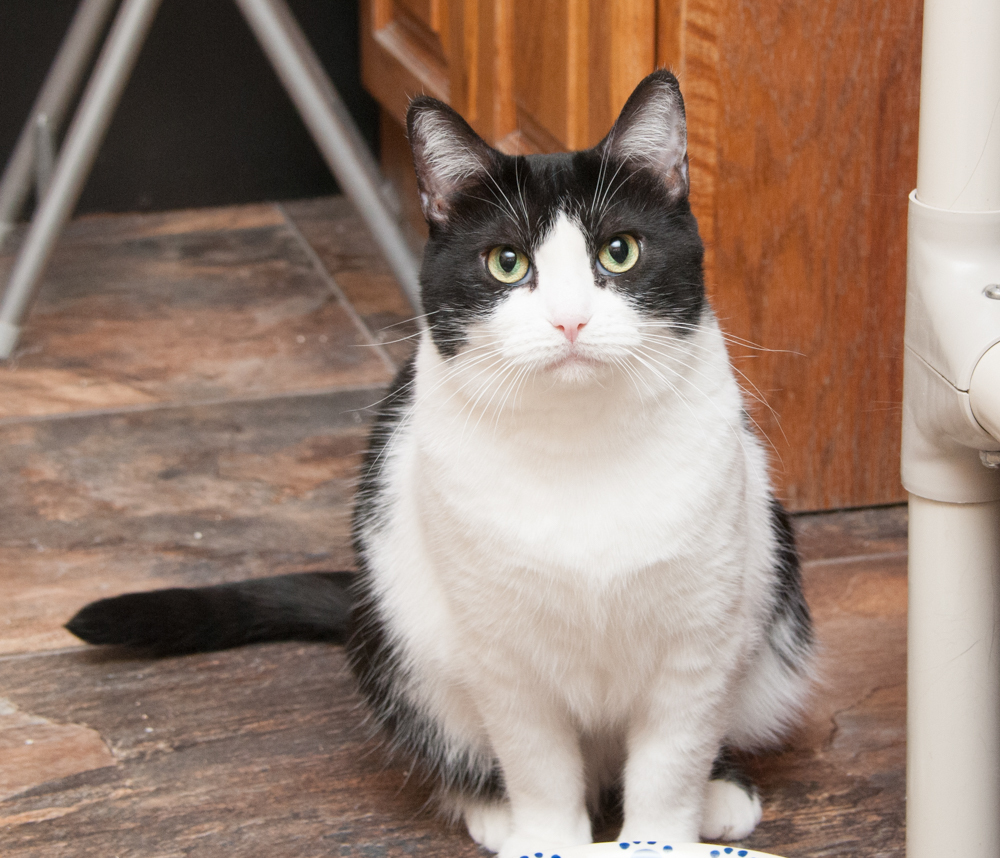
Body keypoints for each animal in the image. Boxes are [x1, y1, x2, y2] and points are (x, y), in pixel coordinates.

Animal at [72, 68, 820, 856]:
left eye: (619, 251)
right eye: (506, 262)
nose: (571, 320)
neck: (577, 443)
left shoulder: (698, 639)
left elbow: (669, 766)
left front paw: (664, 834)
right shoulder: (501, 649)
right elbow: (538, 763)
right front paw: (544, 835)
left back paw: (722, 791)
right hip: (399, 639)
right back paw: (490, 807)